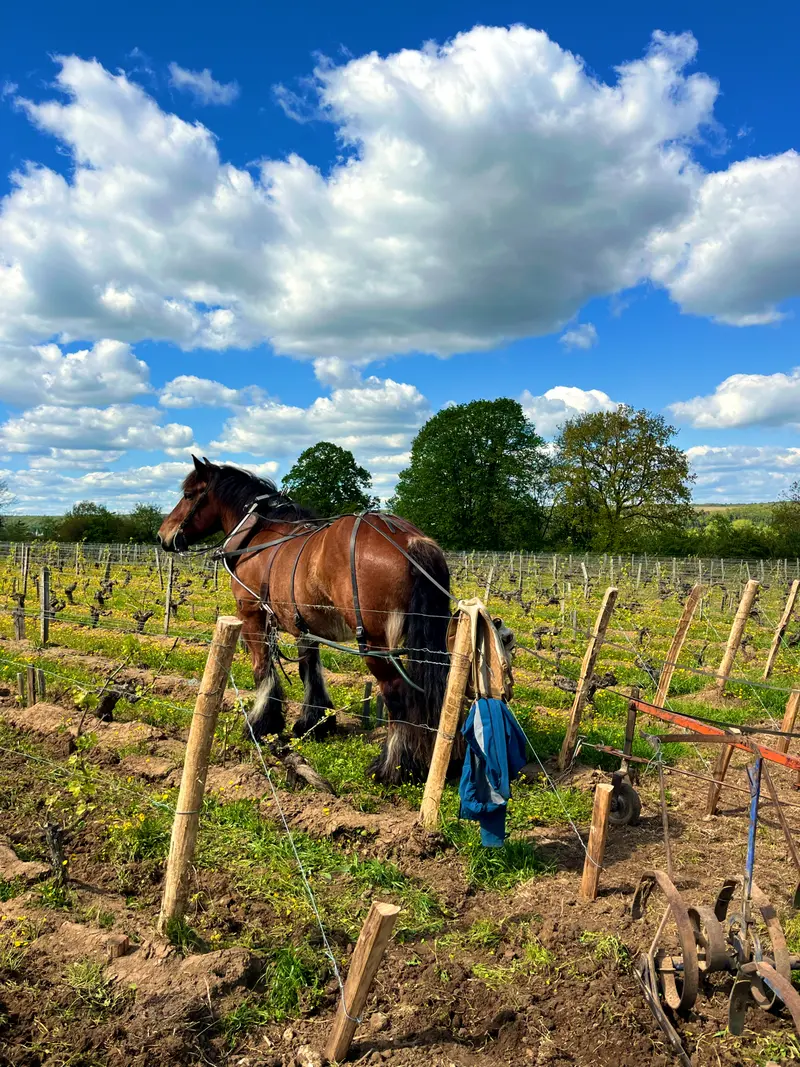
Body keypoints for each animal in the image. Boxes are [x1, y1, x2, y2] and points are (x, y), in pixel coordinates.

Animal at [157, 457, 452, 784]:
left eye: (188, 495)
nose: (163, 536)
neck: (259, 536)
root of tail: (410, 540)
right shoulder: (304, 624)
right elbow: (310, 670)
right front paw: (313, 722)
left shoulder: (252, 614)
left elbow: (263, 668)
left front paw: (262, 724)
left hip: (375, 643)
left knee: (397, 694)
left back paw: (392, 767)